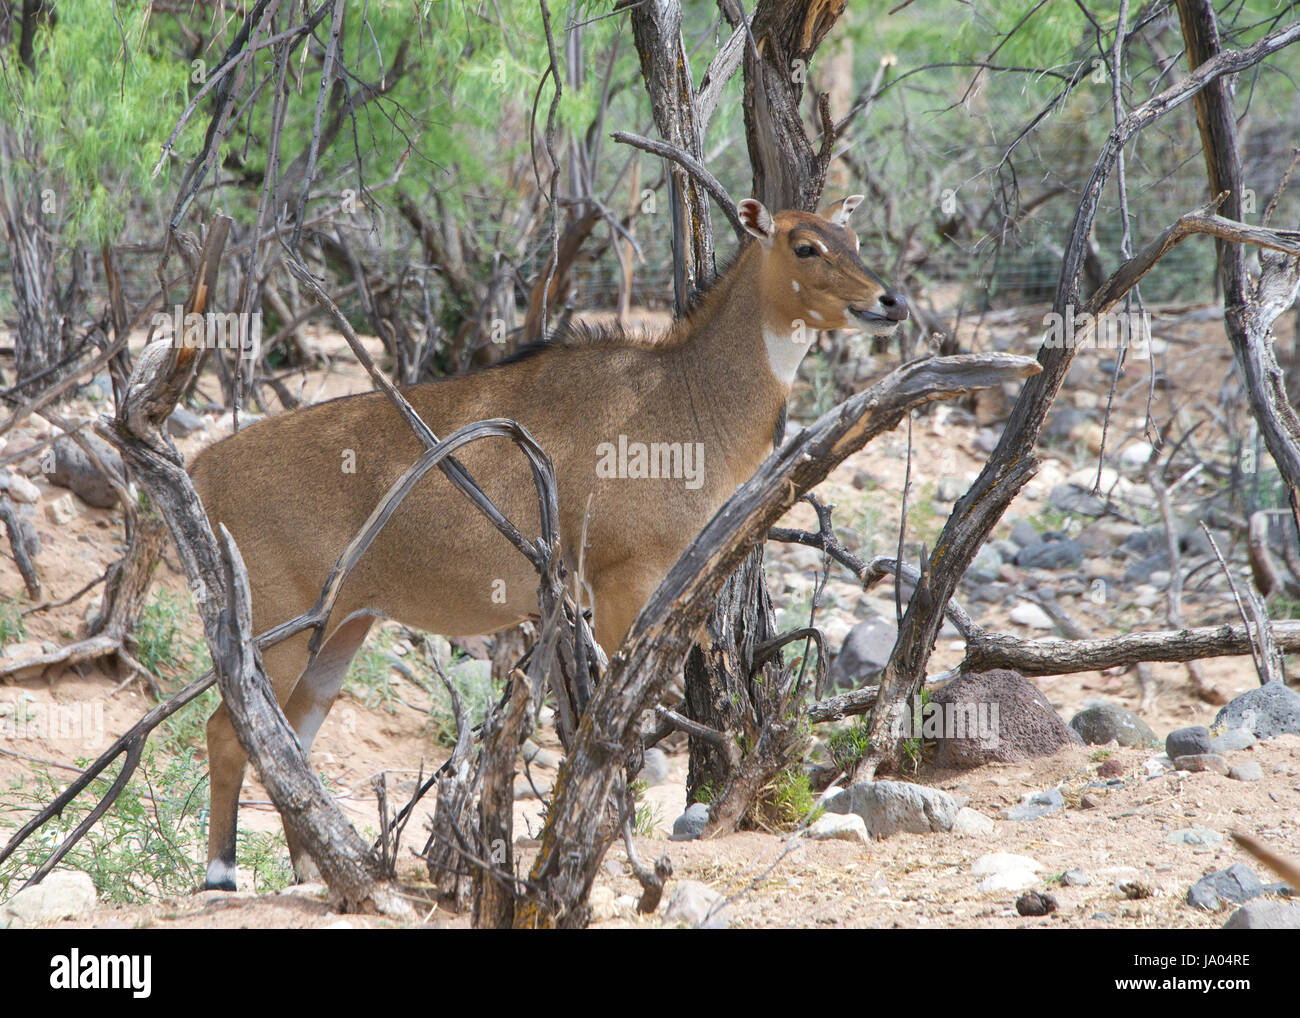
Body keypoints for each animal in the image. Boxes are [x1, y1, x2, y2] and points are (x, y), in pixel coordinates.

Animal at [192, 195, 909, 889]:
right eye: (804, 246)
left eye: (853, 240)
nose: (890, 303)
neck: (687, 400)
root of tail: (204, 466)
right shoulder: (623, 581)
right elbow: (617, 725)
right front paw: (603, 842)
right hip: (280, 622)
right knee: (229, 730)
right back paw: (221, 876)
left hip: (343, 626)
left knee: (292, 739)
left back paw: (314, 871)